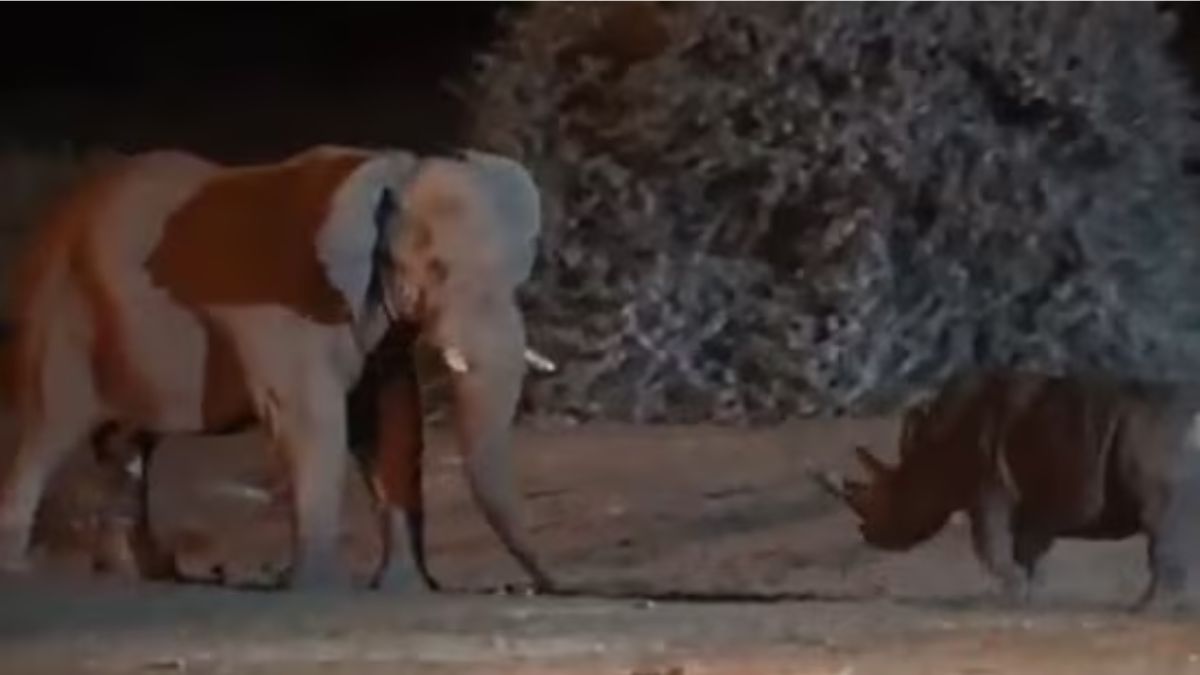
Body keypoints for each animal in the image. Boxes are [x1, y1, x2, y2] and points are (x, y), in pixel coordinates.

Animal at [0, 144, 559, 586]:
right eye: (438, 269)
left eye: (517, 271)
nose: (552, 586)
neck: (389, 174)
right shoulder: (286, 306)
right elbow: (312, 418)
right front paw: (319, 589)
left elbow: (393, 419)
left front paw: (404, 589)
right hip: (59, 313)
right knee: (48, 432)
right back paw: (22, 570)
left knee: (125, 447)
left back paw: (141, 576)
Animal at [816, 367, 1200, 610]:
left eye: (896, 493)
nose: (868, 534)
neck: (933, 451)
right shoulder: (1033, 499)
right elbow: (1028, 550)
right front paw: (1031, 596)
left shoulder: (989, 486)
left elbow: (992, 545)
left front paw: (1008, 596)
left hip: (1152, 437)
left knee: (1160, 520)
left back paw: (1147, 608)